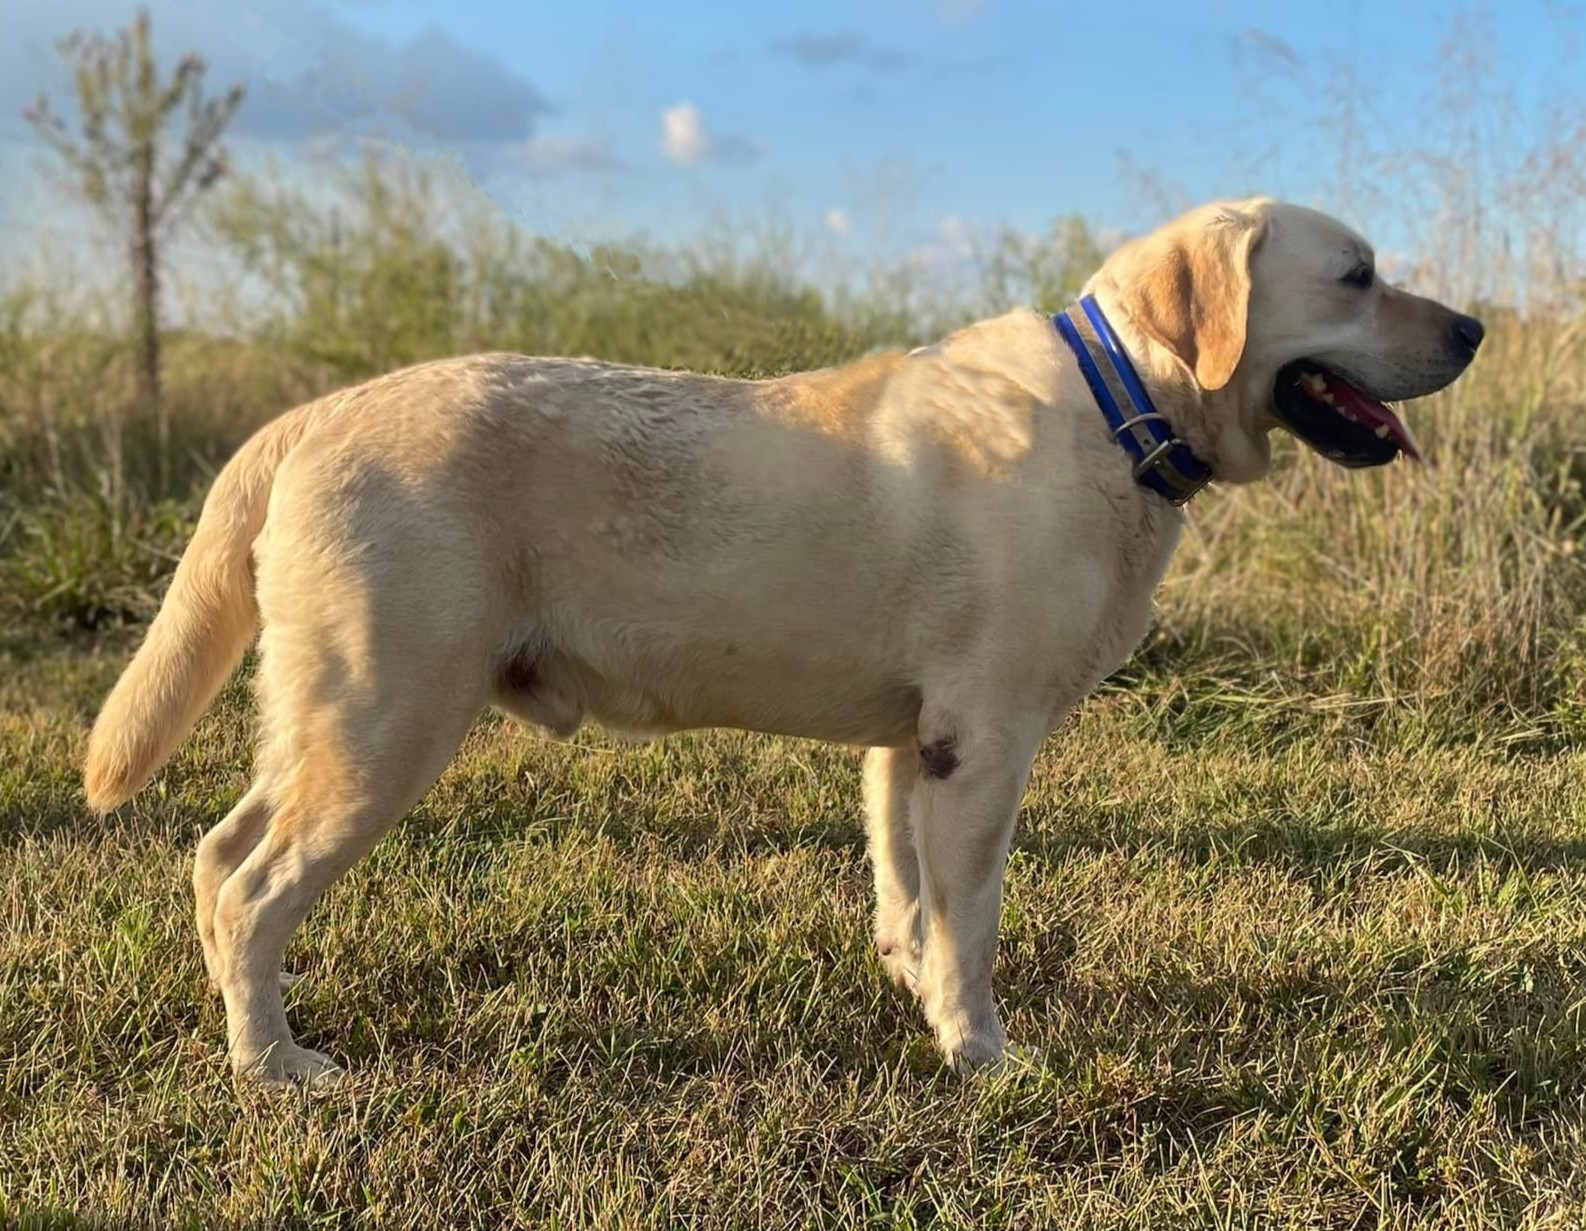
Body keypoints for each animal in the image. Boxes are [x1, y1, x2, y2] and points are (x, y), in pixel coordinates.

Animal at [82, 198, 1483, 1086]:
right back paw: (273, 1064)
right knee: (251, 886)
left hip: (328, 719)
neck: (1116, 407)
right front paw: (981, 1054)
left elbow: (907, 896)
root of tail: (311, 414)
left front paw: (914, 992)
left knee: (213, 858)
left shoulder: (909, 744)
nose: (1475, 330)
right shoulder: (985, 743)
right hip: (385, 723)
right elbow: (973, 923)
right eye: (1355, 275)